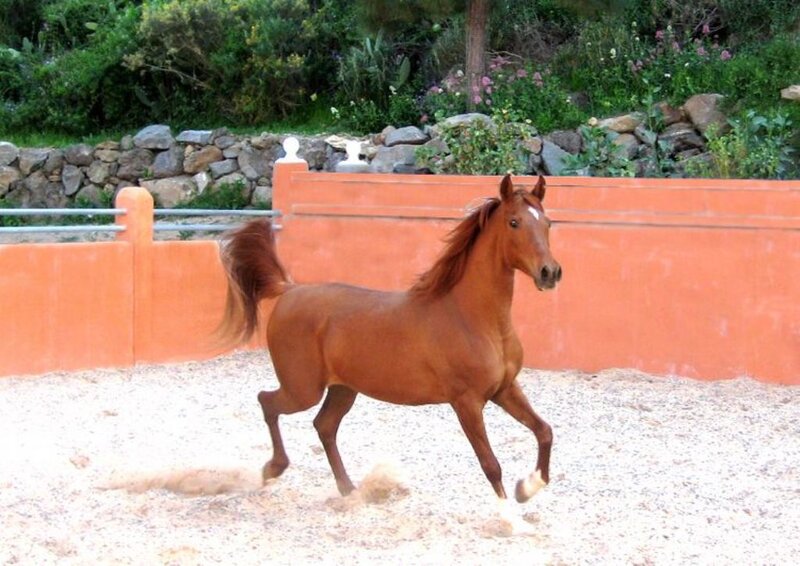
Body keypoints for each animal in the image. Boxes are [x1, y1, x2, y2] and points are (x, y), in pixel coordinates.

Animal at [218, 174, 562, 526]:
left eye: (548, 222)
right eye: (514, 222)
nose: (550, 273)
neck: (473, 317)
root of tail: (289, 290)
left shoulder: (504, 389)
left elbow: (544, 431)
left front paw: (527, 488)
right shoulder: (466, 402)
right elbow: (490, 464)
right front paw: (510, 519)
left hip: (343, 389)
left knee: (324, 425)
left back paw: (349, 490)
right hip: (302, 389)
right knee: (267, 402)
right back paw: (273, 469)